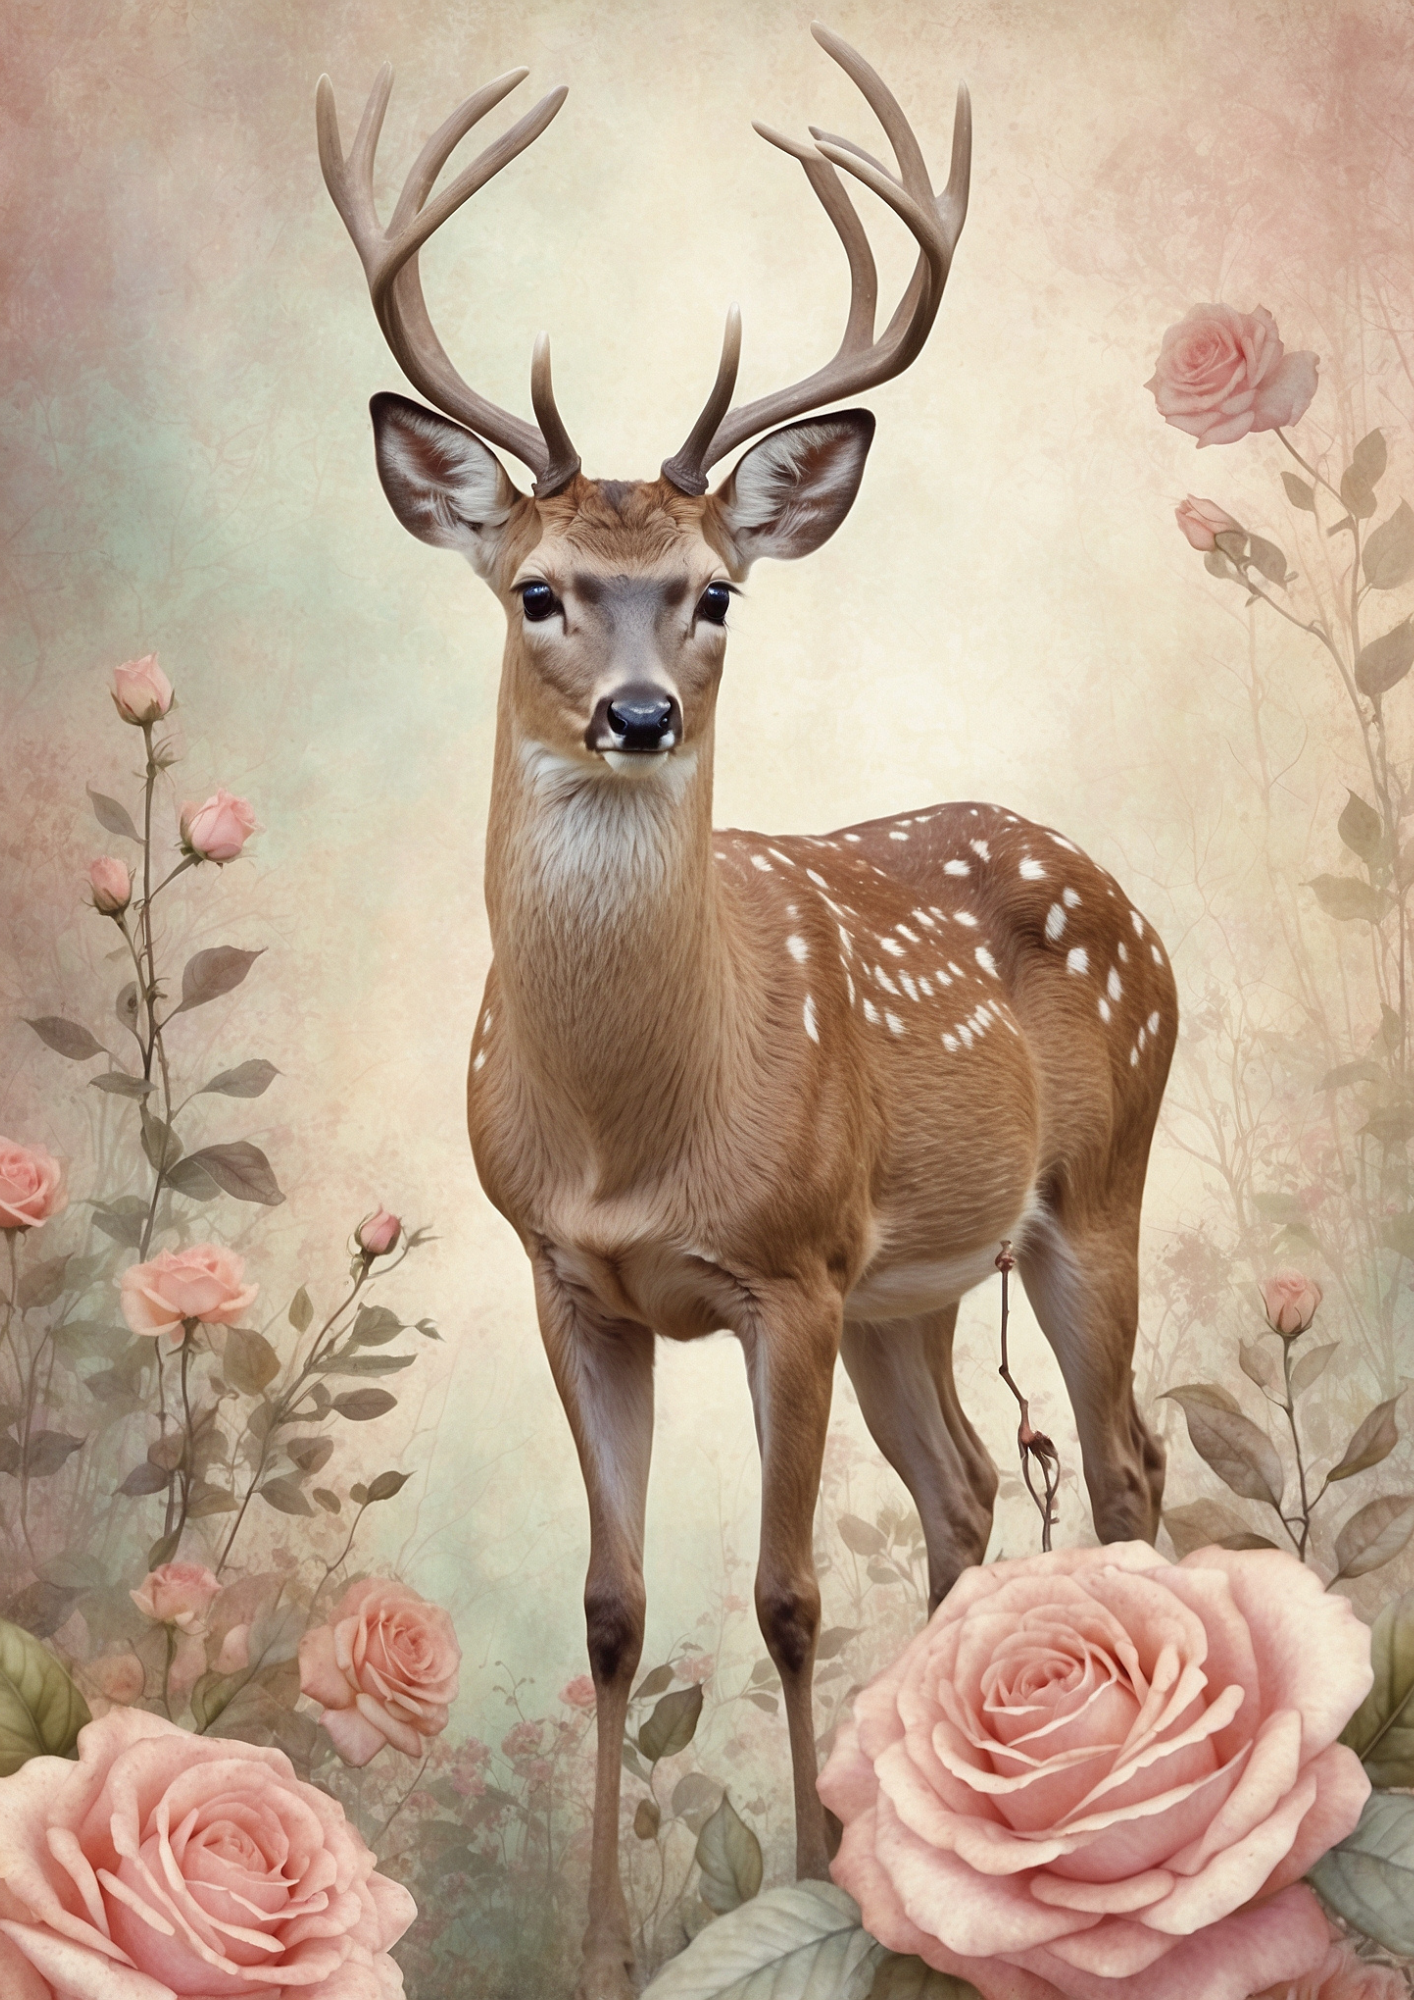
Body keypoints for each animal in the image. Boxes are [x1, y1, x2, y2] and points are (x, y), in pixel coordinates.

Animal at [317, 26, 1177, 1998]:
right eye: (537, 589)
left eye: (712, 593)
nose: (636, 714)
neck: (639, 1124)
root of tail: (1116, 886)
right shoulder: (569, 1277)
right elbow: (613, 1608)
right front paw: (604, 1950)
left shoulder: (786, 1271)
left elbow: (783, 1596)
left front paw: (793, 1892)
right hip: (910, 1293)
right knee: (962, 1486)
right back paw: (929, 1852)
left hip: (1088, 1196)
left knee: (1119, 1462)